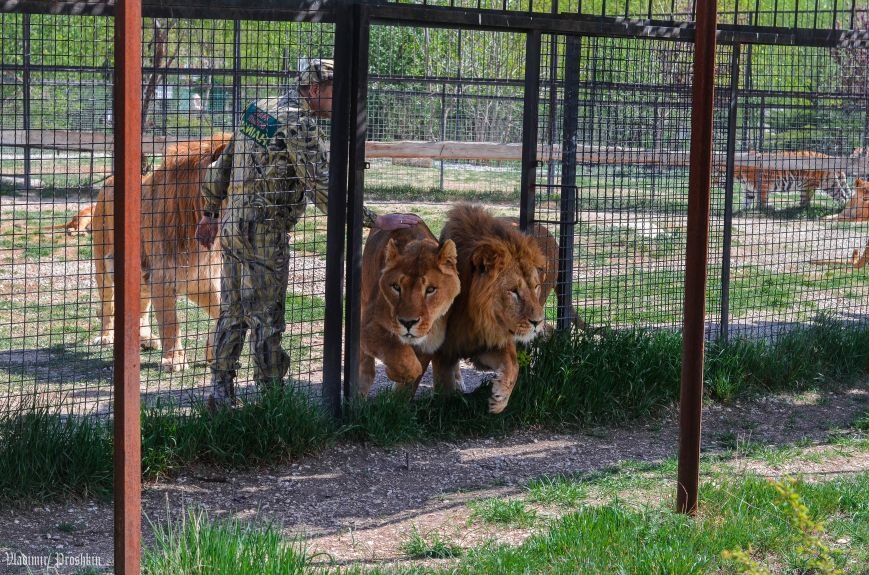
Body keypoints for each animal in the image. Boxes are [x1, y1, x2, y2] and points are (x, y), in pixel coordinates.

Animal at [358, 222, 462, 400]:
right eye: (396, 287)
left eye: (431, 289)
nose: (408, 322)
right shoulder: (369, 326)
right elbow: (403, 358)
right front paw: (394, 374)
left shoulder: (430, 342)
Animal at [434, 205, 548, 416]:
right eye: (513, 291)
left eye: (536, 286)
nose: (538, 322)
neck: (476, 316)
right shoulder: (442, 347)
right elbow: (443, 385)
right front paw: (445, 406)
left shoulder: (485, 340)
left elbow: (513, 364)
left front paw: (499, 399)